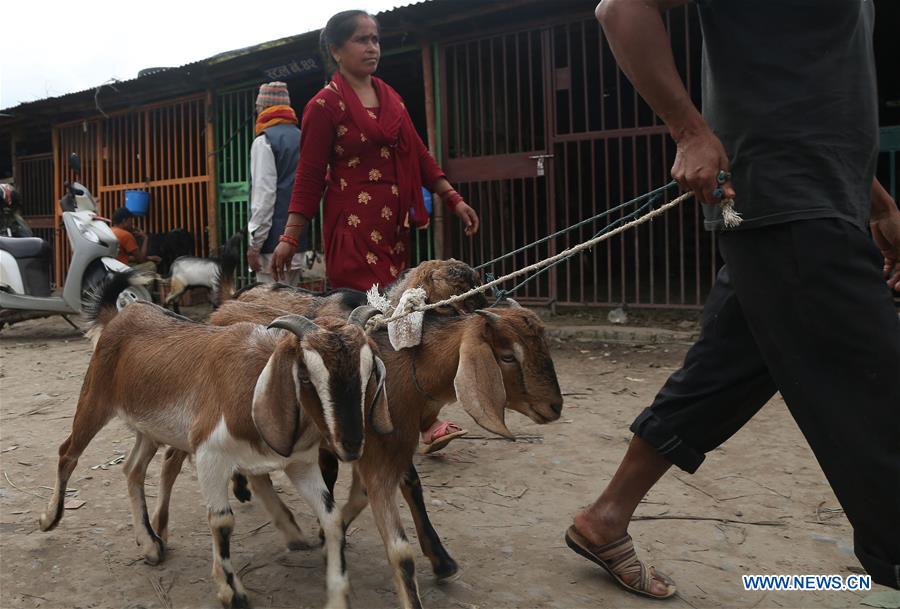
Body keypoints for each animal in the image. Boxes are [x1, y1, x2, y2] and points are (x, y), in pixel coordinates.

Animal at [38, 270, 390, 608]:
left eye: (369, 372)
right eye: (304, 376)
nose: (351, 444)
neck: (252, 387)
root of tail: (122, 315)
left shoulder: (299, 464)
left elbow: (331, 518)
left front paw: (337, 593)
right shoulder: (210, 454)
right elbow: (221, 522)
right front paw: (230, 591)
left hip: (150, 429)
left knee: (133, 469)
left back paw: (151, 544)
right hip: (95, 398)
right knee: (68, 452)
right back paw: (49, 518)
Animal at [152, 296, 564, 604]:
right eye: (507, 356)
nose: (555, 407)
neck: (405, 367)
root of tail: (222, 309)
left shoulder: (384, 446)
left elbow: (389, 490)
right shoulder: (376, 452)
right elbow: (396, 517)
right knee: (171, 459)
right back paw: (158, 534)